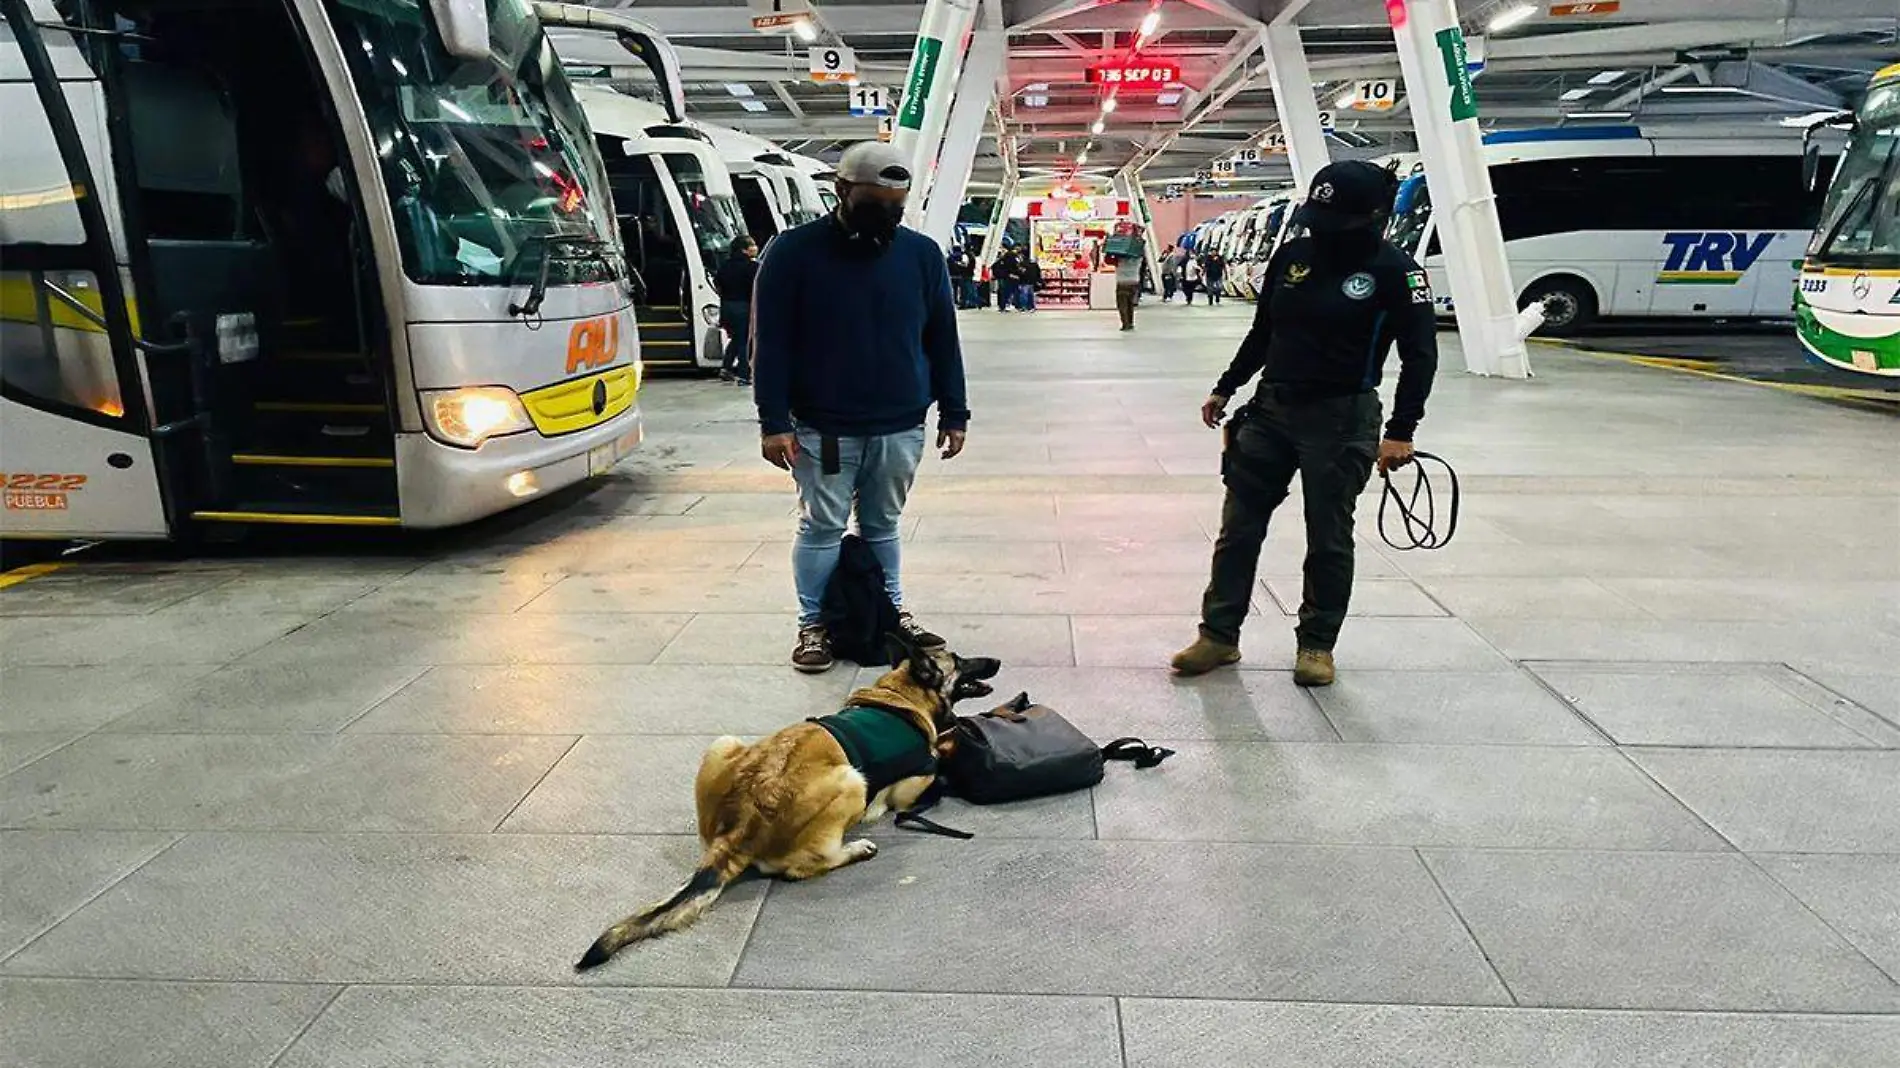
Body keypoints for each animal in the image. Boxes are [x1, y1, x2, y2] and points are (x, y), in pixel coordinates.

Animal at [573, 634, 995, 969]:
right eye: (959, 659)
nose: (997, 662)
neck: (901, 695)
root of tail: (739, 829)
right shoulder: (912, 783)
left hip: (722, 743)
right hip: (852, 780)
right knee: (806, 866)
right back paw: (856, 848)